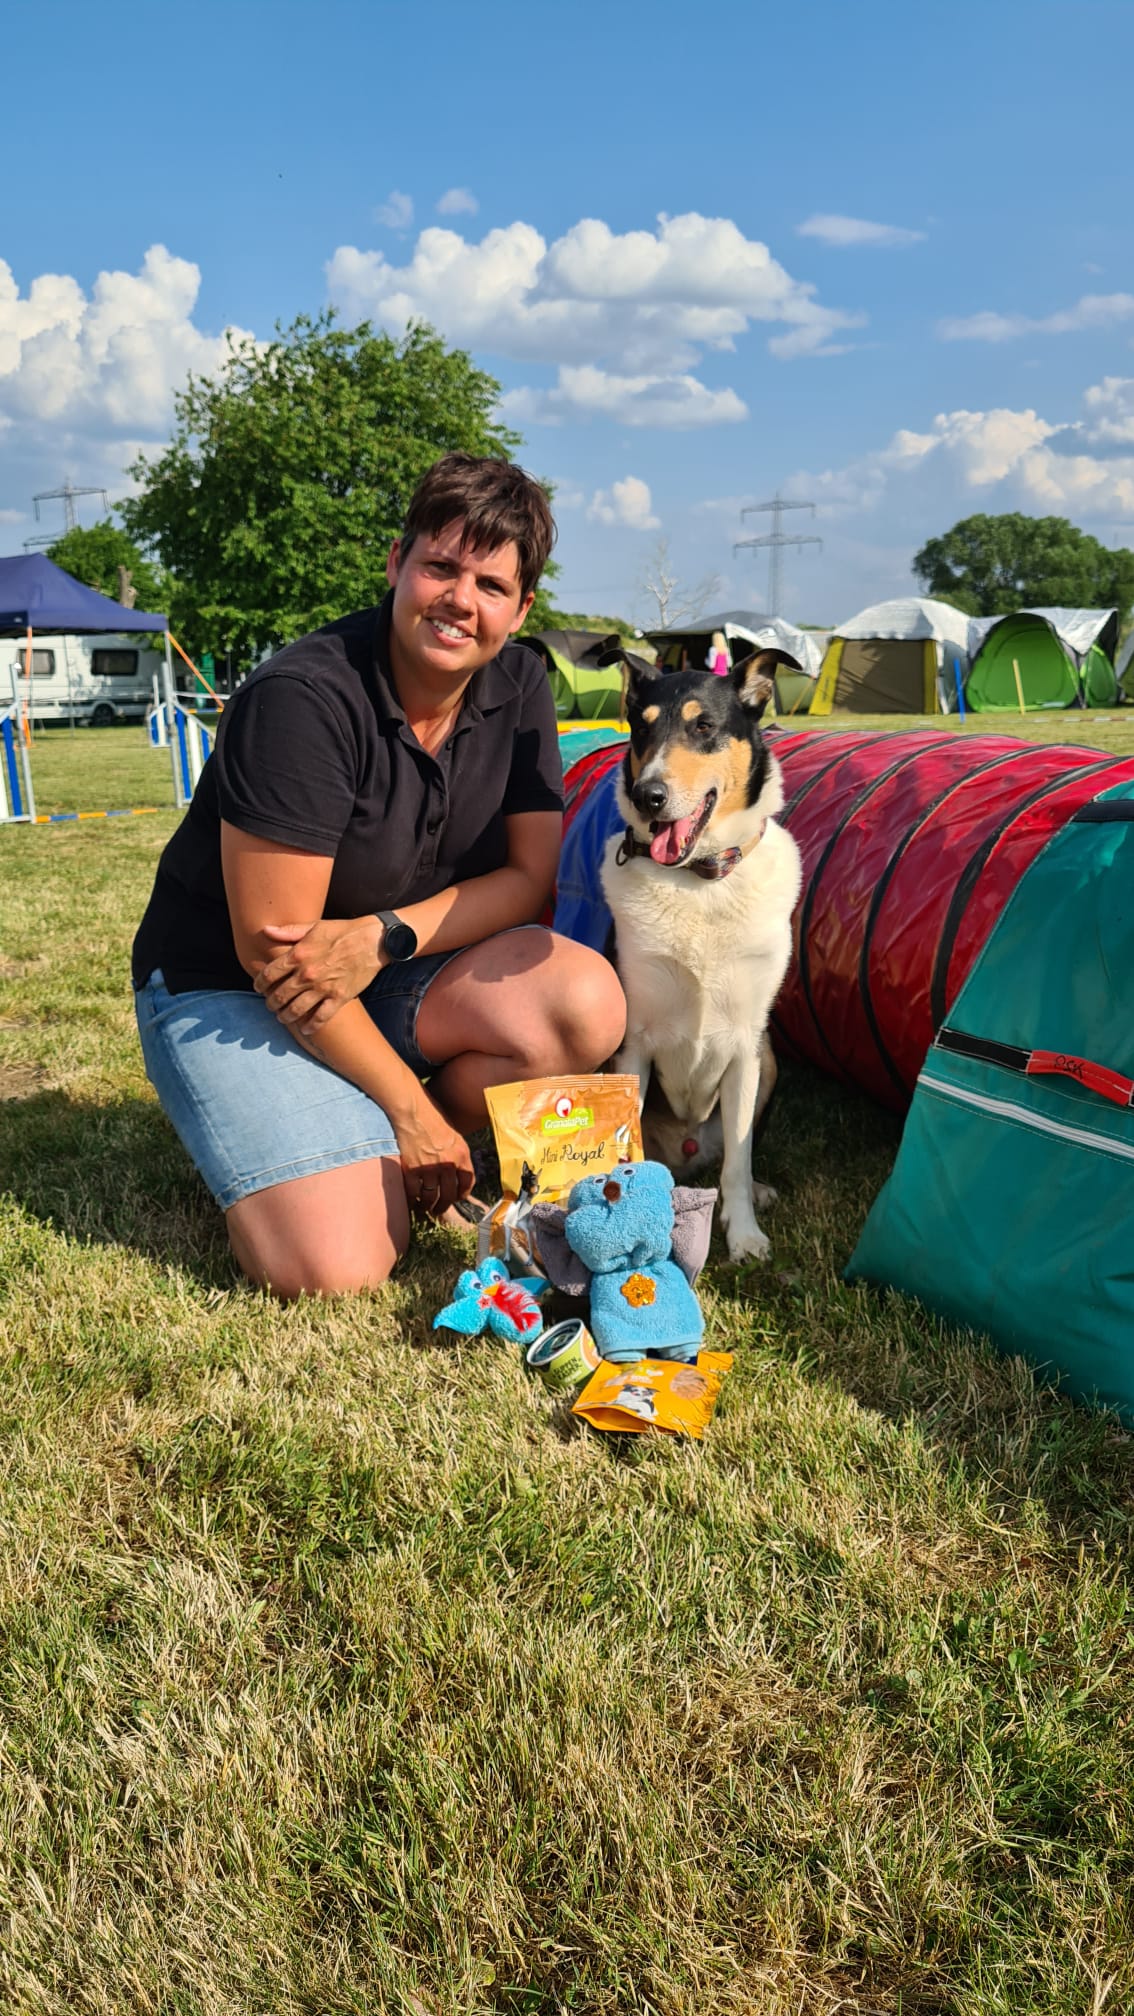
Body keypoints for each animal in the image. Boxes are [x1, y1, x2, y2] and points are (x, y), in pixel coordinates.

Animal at [597, 645, 799, 1257]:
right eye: (640, 728)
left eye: (703, 726)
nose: (649, 796)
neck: (698, 882)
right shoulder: (633, 1045)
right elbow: (628, 1150)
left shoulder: (746, 1047)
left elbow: (739, 1154)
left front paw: (744, 1234)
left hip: (770, 1058)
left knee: (731, 1154)